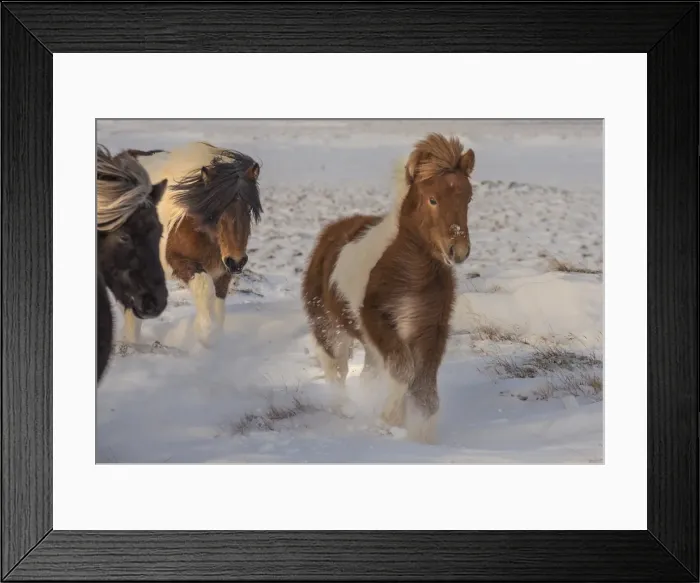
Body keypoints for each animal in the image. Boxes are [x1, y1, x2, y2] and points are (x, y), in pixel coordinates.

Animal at [123, 142, 263, 347]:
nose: (237, 261)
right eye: (217, 210)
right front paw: (205, 332)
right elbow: (204, 288)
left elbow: (218, 305)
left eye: (248, 208)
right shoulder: (180, 262)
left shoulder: (222, 272)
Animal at [301, 133, 475, 444]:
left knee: (366, 374)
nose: (459, 251)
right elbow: (404, 371)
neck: (409, 272)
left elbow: (425, 389)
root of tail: (331, 232)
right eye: (432, 199)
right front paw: (390, 420)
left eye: (468, 197)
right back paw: (344, 409)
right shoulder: (377, 321)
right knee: (335, 368)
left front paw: (421, 437)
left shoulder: (432, 328)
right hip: (330, 327)